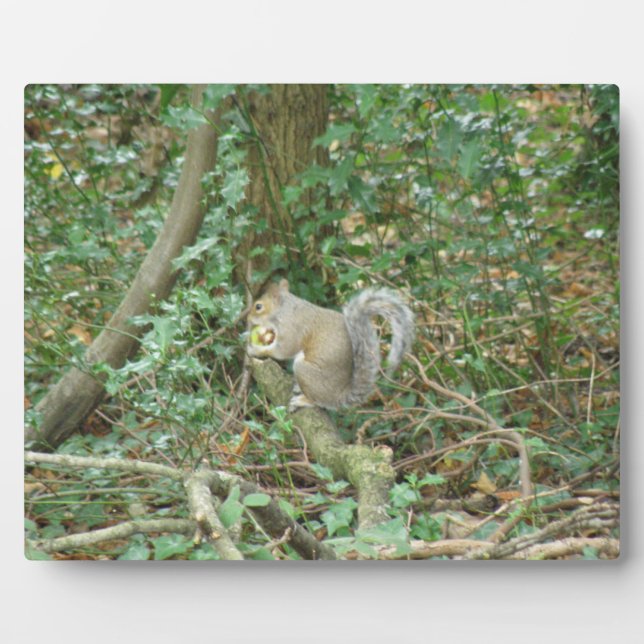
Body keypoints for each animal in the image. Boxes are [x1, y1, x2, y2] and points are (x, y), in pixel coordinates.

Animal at [247, 279, 414, 410]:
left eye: (258, 306)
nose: (247, 319)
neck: (285, 310)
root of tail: (338, 396)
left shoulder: (292, 328)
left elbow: (283, 350)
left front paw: (256, 349)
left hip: (304, 371)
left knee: (318, 402)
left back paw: (303, 400)